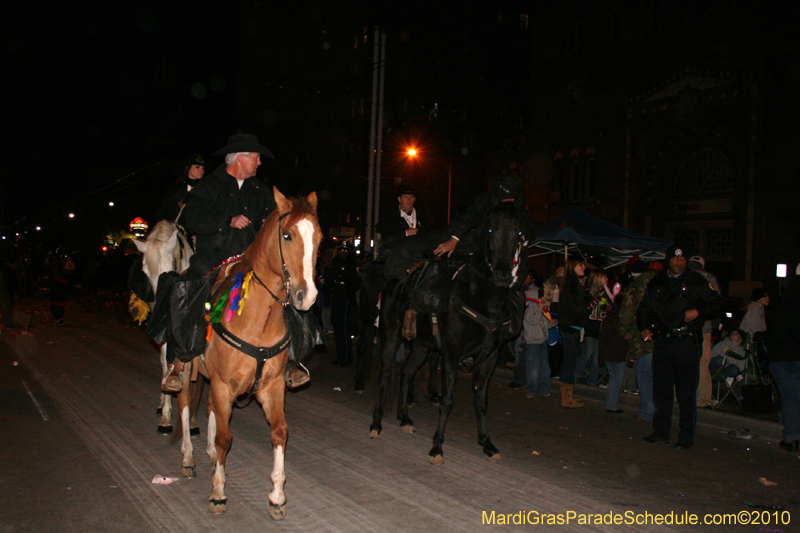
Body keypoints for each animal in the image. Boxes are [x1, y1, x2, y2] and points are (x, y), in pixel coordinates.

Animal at [177, 186, 320, 516]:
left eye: (319, 237)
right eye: (287, 235)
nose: (307, 296)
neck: (257, 319)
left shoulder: (272, 385)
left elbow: (279, 431)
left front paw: (277, 495)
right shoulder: (222, 384)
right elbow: (224, 437)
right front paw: (218, 492)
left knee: (208, 408)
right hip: (186, 367)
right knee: (184, 403)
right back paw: (188, 458)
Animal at [372, 202, 528, 464]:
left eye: (518, 232)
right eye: (490, 230)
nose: (503, 276)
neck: (482, 299)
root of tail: (396, 281)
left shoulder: (490, 357)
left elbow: (481, 400)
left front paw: (486, 443)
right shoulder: (452, 354)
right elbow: (446, 400)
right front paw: (437, 446)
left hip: (422, 346)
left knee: (406, 373)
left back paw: (404, 417)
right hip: (390, 337)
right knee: (384, 377)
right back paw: (376, 423)